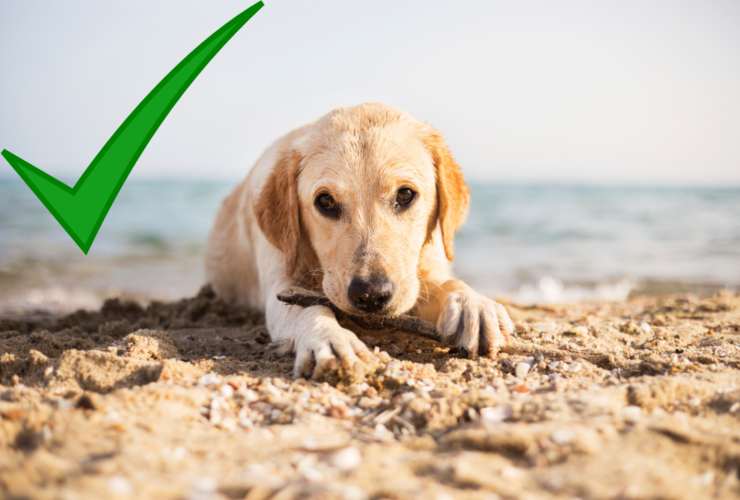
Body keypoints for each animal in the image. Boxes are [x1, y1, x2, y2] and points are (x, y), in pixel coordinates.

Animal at [205, 101, 512, 376]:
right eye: (325, 201)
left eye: (405, 194)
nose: (371, 295)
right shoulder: (280, 283)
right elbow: (308, 308)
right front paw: (330, 338)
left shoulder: (425, 267)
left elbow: (446, 283)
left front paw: (472, 304)